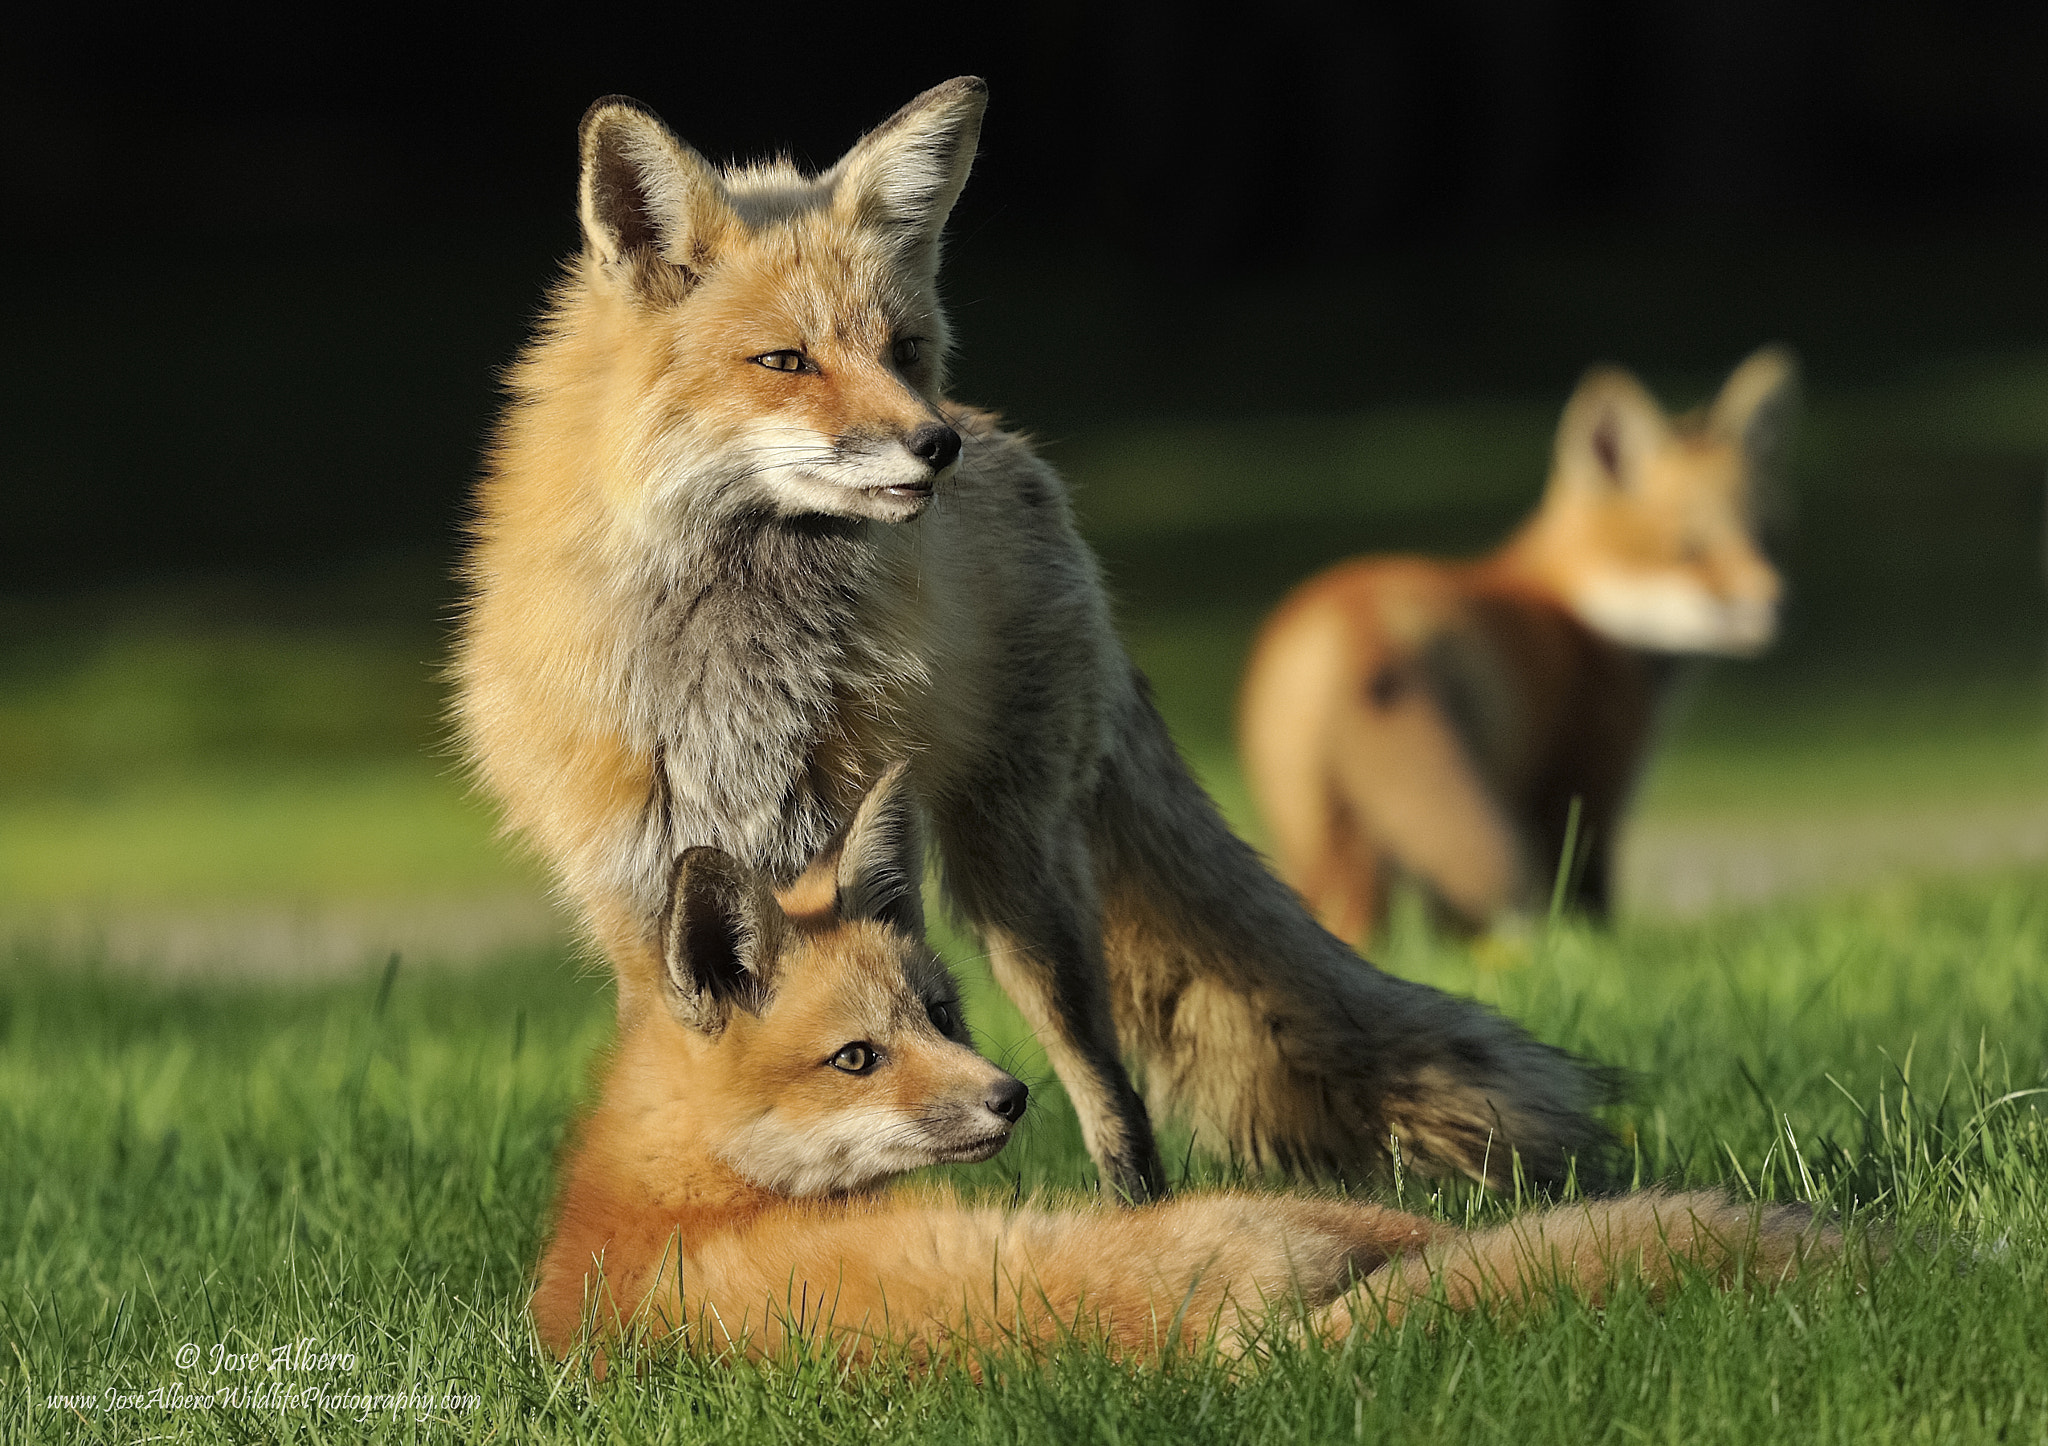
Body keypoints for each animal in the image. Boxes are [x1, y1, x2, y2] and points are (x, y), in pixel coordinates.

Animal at [455, 77, 1610, 1206]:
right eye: (785, 361)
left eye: (902, 351)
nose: (934, 446)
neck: (733, 668)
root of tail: (1017, 451)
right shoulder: (635, 890)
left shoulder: (849, 846)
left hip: (1020, 882)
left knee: (1106, 1083)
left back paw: (1138, 1211)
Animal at [532, 767, 1833, 1366]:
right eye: (856, 1058)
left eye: (943, 1013)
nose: (1011, 1096)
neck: (656, 1211)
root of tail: (1241, 1354)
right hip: (1291, 1216)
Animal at [1237, 351, 1794, 945]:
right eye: (1688, 551)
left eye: (1770, 540)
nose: (1775, 602)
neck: (1583, 608)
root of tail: (1361, 621)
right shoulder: (1584, 785)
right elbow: (1587, 899)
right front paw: (1589, 948)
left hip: (1319, 835)